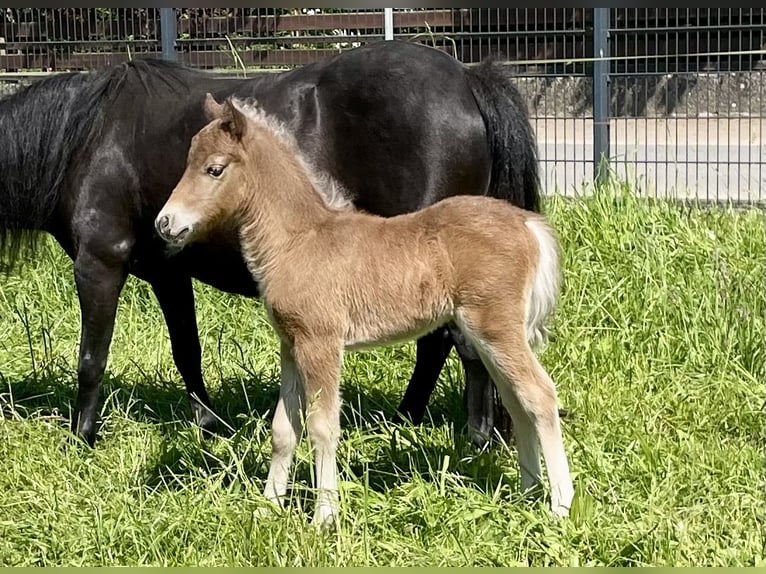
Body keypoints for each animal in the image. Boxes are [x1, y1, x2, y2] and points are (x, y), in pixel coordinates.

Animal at [158, 95, 576, 528]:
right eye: (188, 160)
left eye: (215, 169)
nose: (164, 223)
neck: (298, 240)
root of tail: (527, 223)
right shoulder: (291, 345)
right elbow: (284, 428)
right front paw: (268, 506)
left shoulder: (320, 342)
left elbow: (322, 426)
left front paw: (324, 517)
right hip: (489, 333)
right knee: (516, 400)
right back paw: (527, 494)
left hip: (496, 327)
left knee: (540, 395)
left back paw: (560, 504)